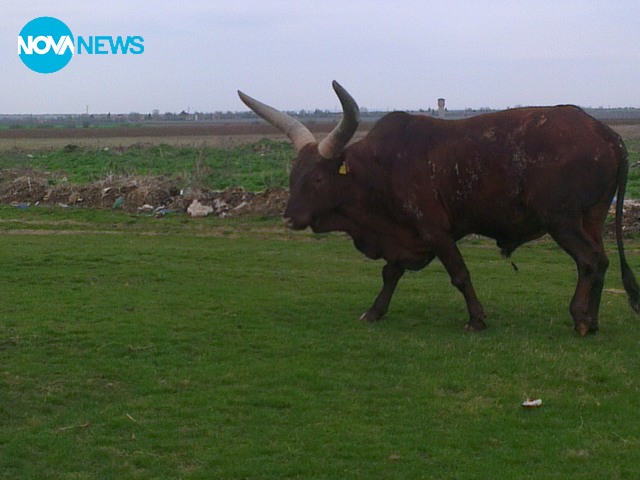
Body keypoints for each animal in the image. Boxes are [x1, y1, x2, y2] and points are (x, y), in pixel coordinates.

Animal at [238, 80, 636, 336]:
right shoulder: (406, 235)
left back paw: (580, 318)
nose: (289, 218)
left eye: (319, 180)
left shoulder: (435, 230)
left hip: (562, 220)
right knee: (602, 261)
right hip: (591, 219)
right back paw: (592, 319)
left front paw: (476, 319)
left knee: (588, 261)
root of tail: (608, 135)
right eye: (293, 176)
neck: (379, 168)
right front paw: (375, 311)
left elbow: (459, 274)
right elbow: (390, 273)